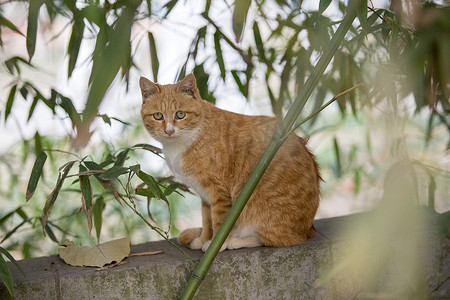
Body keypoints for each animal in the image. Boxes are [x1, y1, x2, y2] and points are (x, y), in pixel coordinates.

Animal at [141, 74, 320, 252]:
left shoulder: (218, 192)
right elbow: (207, 220)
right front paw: (203, 239)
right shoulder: (204, 195)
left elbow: (219, 222)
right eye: (158, 116)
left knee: (273, 239)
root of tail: (309, 229)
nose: (169, 131)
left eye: (180, 114)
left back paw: (235, 241)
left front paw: (215, 245)